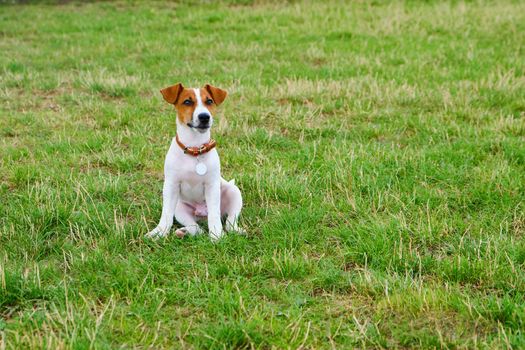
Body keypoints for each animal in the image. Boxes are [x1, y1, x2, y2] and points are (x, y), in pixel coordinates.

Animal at [146, 82, 243, 241]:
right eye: (187, 102)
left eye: (209, 101)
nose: (204, 117)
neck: (195, 149)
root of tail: (202, 215)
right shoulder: (171, 185)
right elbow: (166, 214)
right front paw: (159, 232)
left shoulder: (211, 186)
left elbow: (214, 216)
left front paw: (216, 236)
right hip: (180, 209)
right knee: (196, 228)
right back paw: (183, 232)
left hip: (234, 193)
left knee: (229, 222)